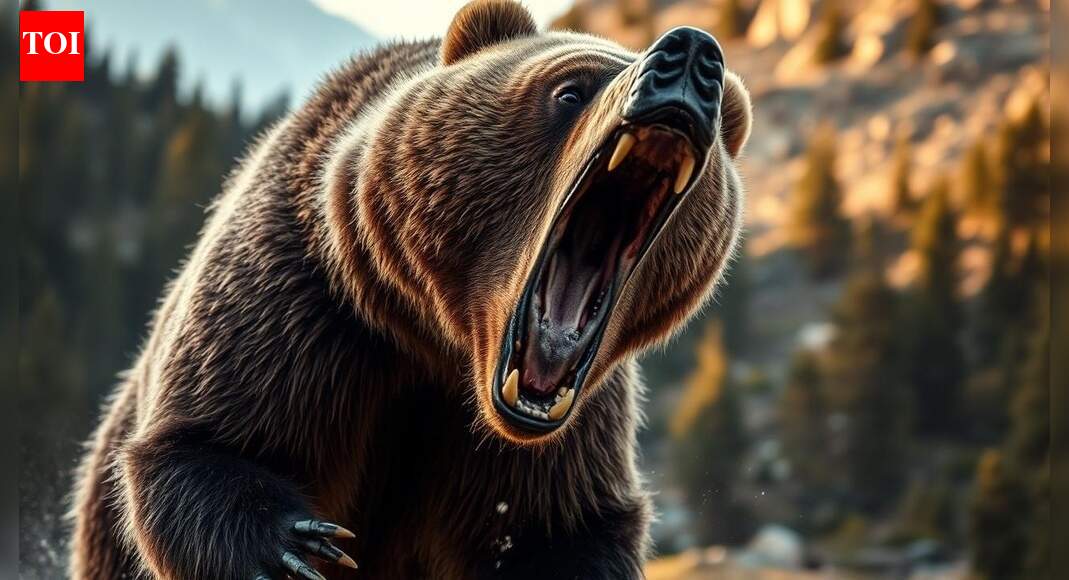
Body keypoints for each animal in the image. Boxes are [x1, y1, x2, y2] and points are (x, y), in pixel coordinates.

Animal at [69, 1, 752, 578]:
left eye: (719, 111)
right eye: (570, 90)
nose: (691, 57)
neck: (446, 345)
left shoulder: (572, 428)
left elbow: (563, 528)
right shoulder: (305, 304)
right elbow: (210, 444)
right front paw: (299, 549)